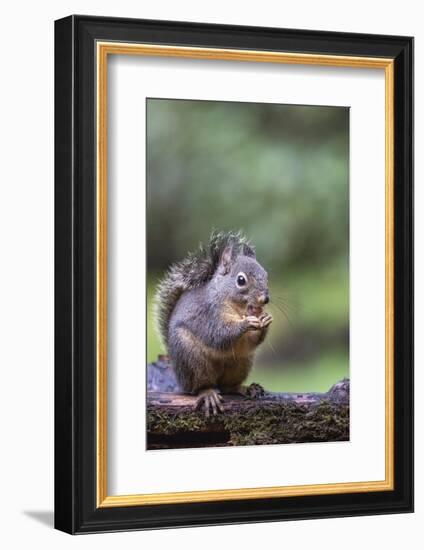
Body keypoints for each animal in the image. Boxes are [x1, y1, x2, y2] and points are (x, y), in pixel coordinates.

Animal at [154, 231, 274, 416]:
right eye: (241, 280)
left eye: (266, 275)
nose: (265, 299)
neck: (237, 308)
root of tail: (178, 374)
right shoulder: (209, 315)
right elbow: (219, 335)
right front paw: (246, 323)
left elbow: (251, 341)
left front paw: (265, 320)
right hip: (192, 360)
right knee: (200, 387)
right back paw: (208, 393)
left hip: (241, 362)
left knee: (227, 387)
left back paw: (245, 388)